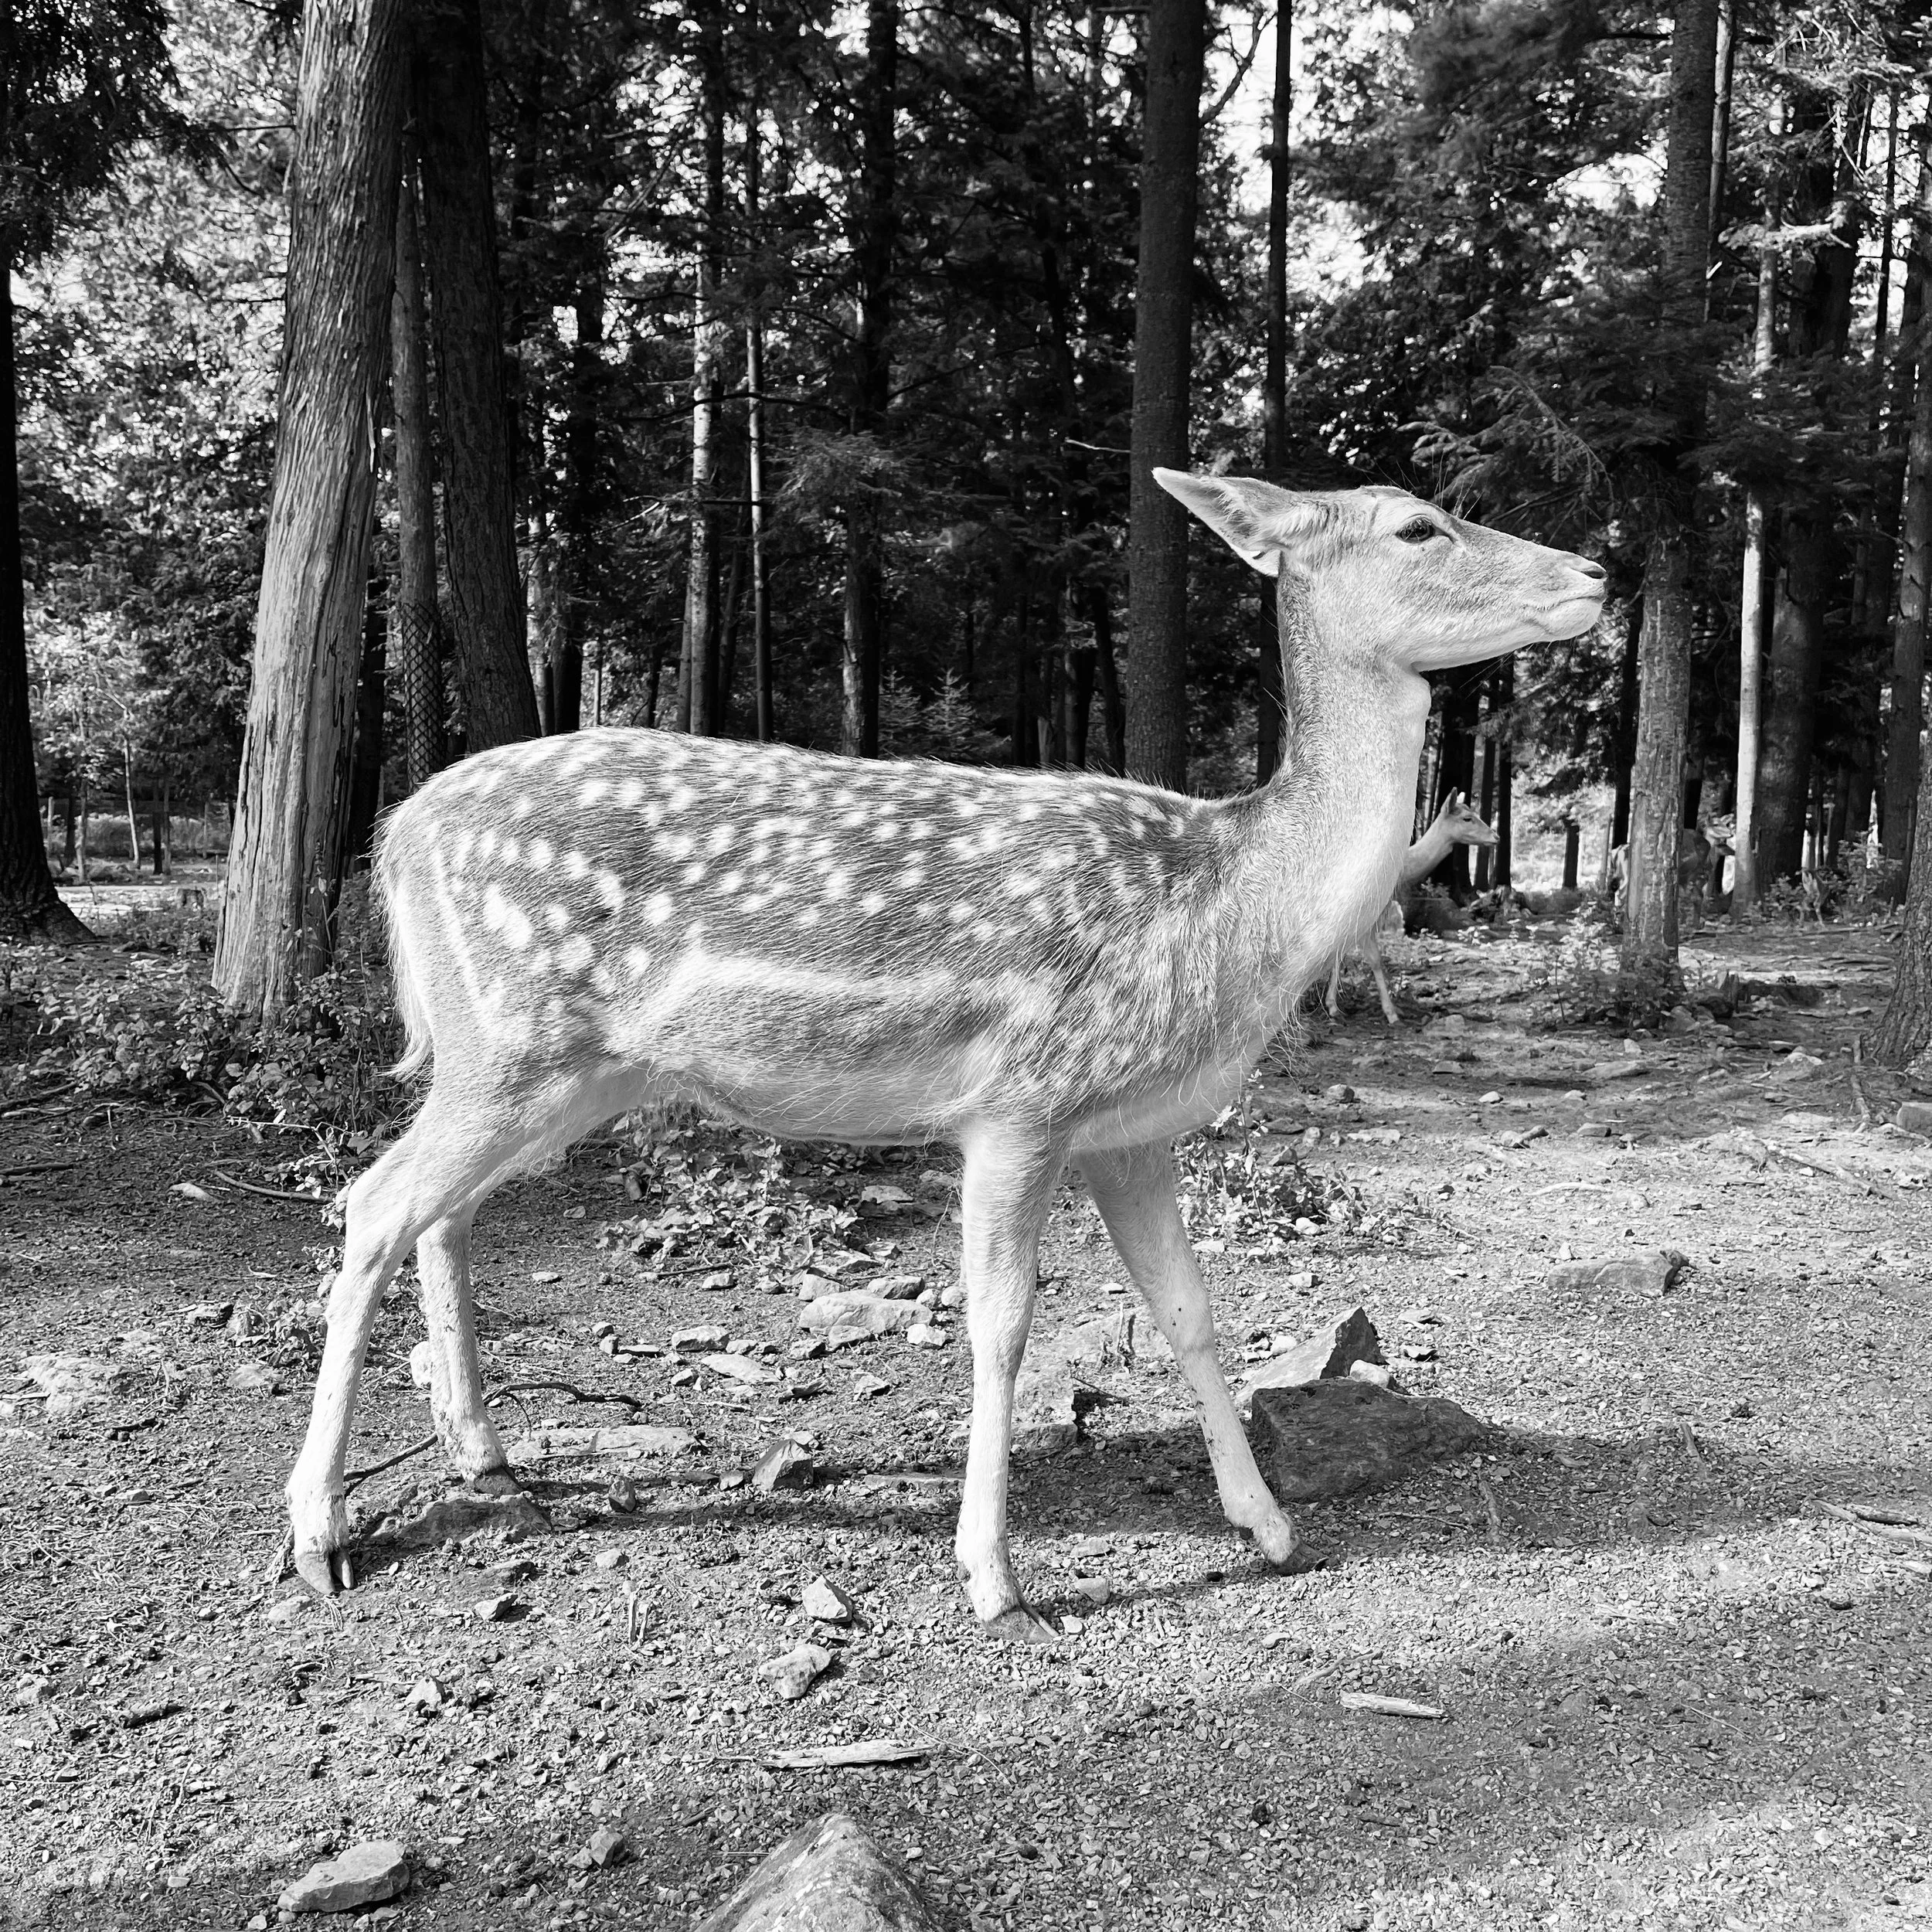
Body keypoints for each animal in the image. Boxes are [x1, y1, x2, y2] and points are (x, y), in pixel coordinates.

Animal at [1325, 790, 1497, 1024]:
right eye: (1467, 818)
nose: (1496, 837)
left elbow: (1339, 954)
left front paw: (1332, 1006)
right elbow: (1374, 959)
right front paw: (1391, 1013)